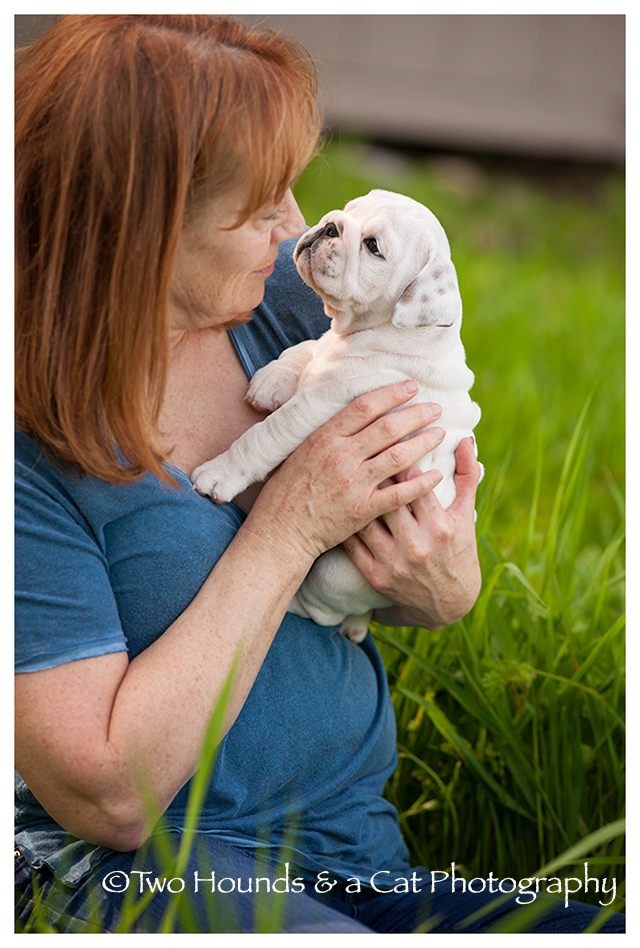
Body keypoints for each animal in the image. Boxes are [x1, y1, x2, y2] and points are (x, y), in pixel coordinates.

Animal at [192, 189, 482, 640]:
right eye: (348, 211)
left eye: (373, 246)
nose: (329, 225)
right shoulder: (328, 352)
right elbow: (308, 347)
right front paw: (272, 380)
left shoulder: (322, 403)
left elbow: (263, 436)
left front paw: (219, 474)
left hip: (336, 573)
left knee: (325, 609)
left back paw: (298, 604)